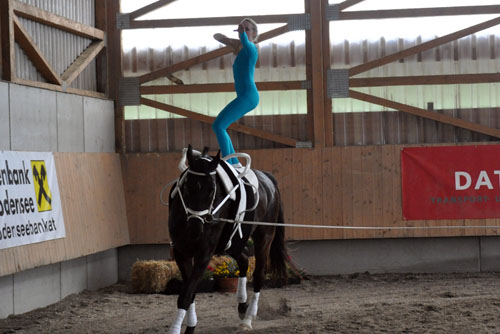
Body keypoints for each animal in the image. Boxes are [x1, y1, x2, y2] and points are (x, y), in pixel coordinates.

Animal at [168, 146, 292, 334]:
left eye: (212, 189)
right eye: (187, 187)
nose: (196, 229)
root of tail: (268, 179)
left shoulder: (204, 254)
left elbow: (186, 295)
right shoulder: (181, 252)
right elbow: (189, 293)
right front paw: (191, 326)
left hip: (264, 237)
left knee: (259, 274)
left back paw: (248, 318)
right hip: (231, 244)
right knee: (244, 260)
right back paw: (242, 305)